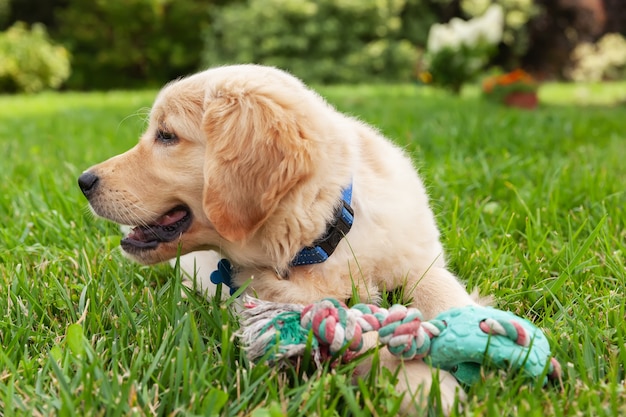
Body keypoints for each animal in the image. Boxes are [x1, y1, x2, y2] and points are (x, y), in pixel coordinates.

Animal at [80, 64, 476, 412]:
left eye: (166, 135)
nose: (83, 181)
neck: (324, 237)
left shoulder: (417, 256)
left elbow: (443, 291)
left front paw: (470, 333)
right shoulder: (287, 301)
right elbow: (360, 335)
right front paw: (427, 385)